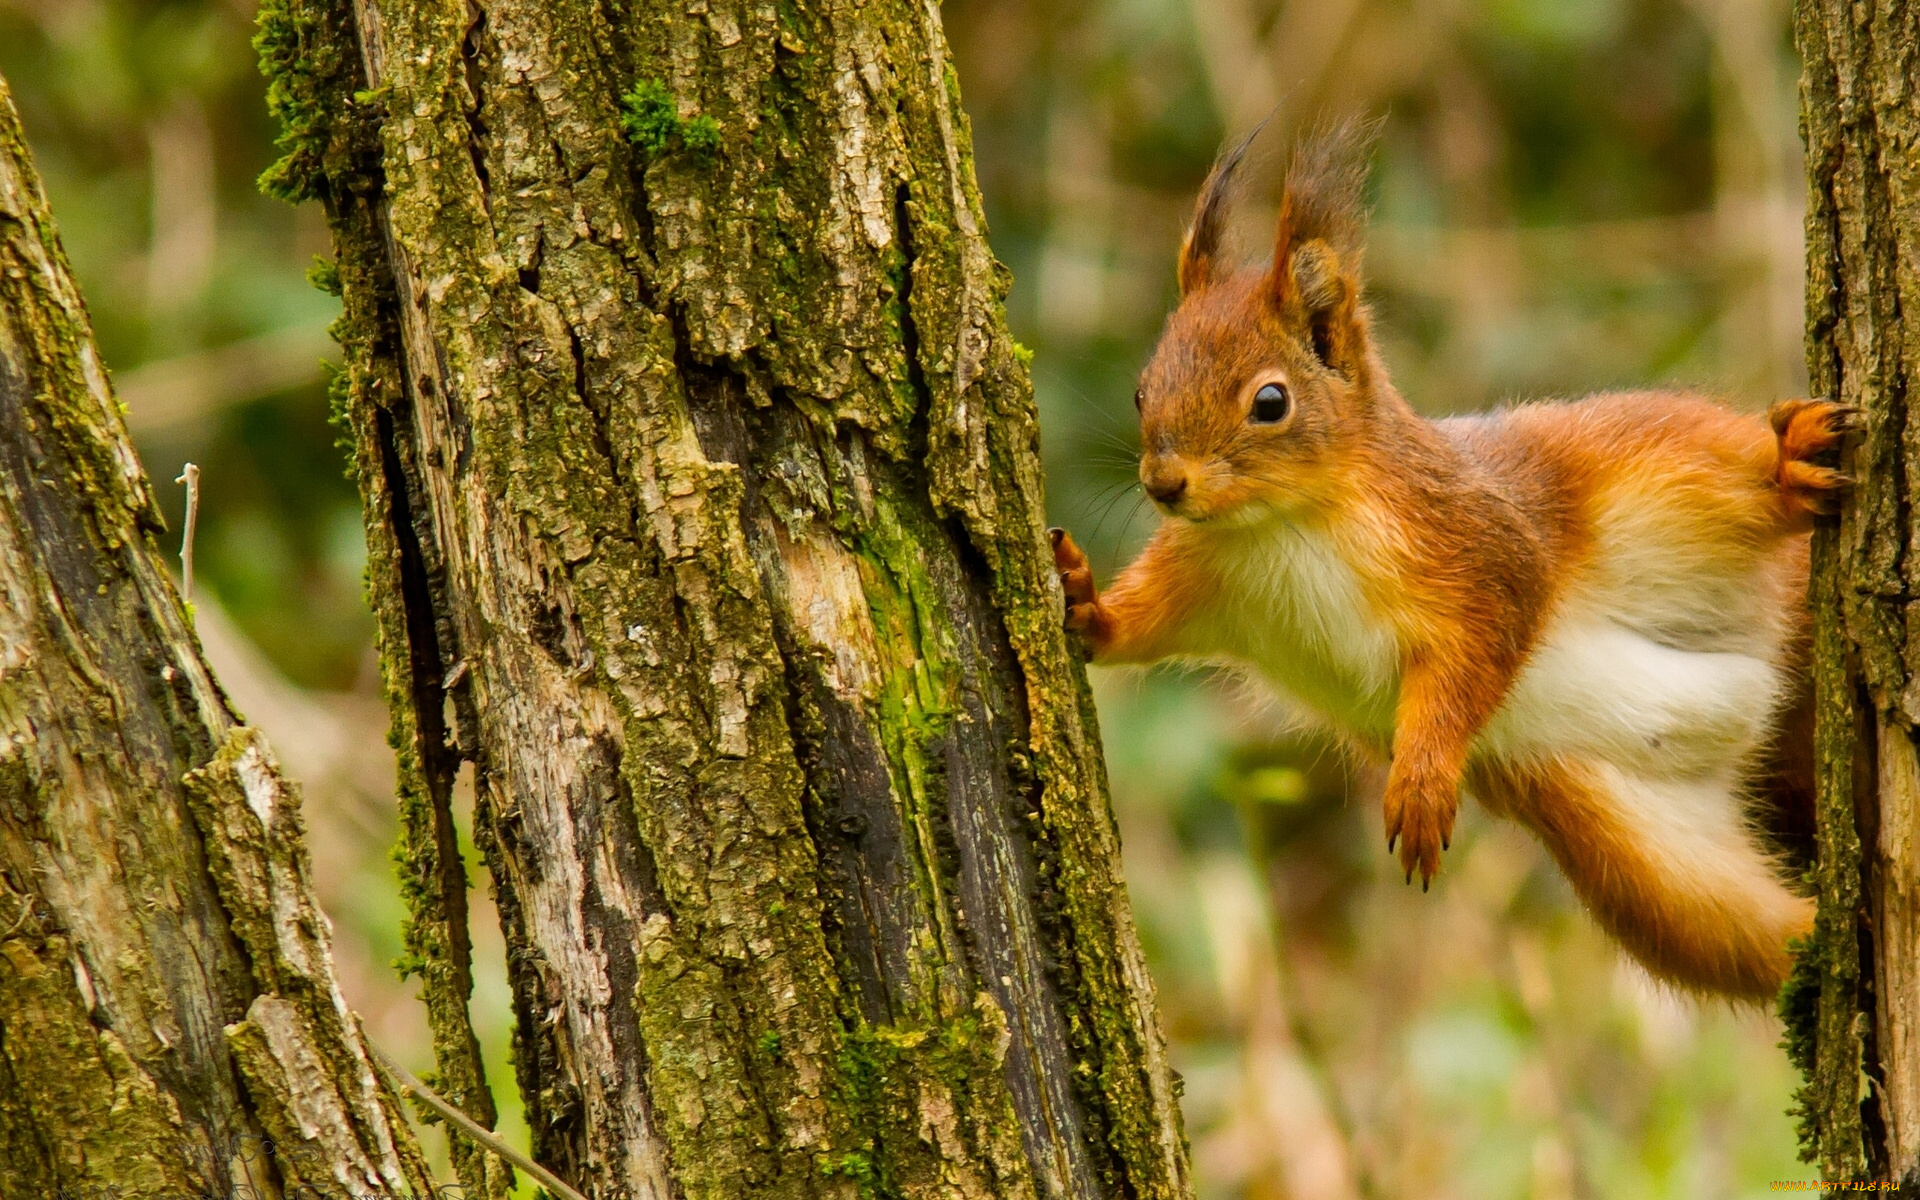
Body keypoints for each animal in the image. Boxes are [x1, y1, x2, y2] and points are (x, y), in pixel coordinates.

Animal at [1059, 123, 1850, 998]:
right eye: (1142, 389)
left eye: (1270, 402)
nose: (1164, 484)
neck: (1281, 525)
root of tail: (1769, 670)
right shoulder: (1203, 580)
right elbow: (1142, 627)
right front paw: (1083, 604)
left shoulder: (1475, 544)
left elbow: (1480, 647)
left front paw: (1421, 781)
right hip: (1635, 857)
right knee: (1747, 935)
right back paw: (1816, 949)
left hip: (1659, 471)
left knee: (1736, 477)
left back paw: (1789, 467)